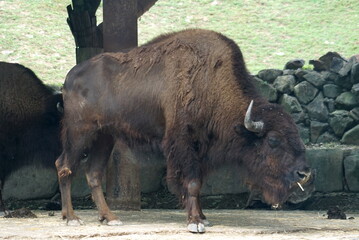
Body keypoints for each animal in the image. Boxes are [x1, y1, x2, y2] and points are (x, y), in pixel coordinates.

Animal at [55, 28, 312, 232]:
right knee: (64, 166)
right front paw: (195, 222)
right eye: (273, 141)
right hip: (80, 133)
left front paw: (204, 218)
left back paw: (109, 217)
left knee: (93, 173)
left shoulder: (202, 152)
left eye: (295, 135)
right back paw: (72, 218)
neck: (212, 84)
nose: (304, 173)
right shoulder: (184, 144)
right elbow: (192, 183)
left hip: (104, 137)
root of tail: (68, 78)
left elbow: (198, 183)